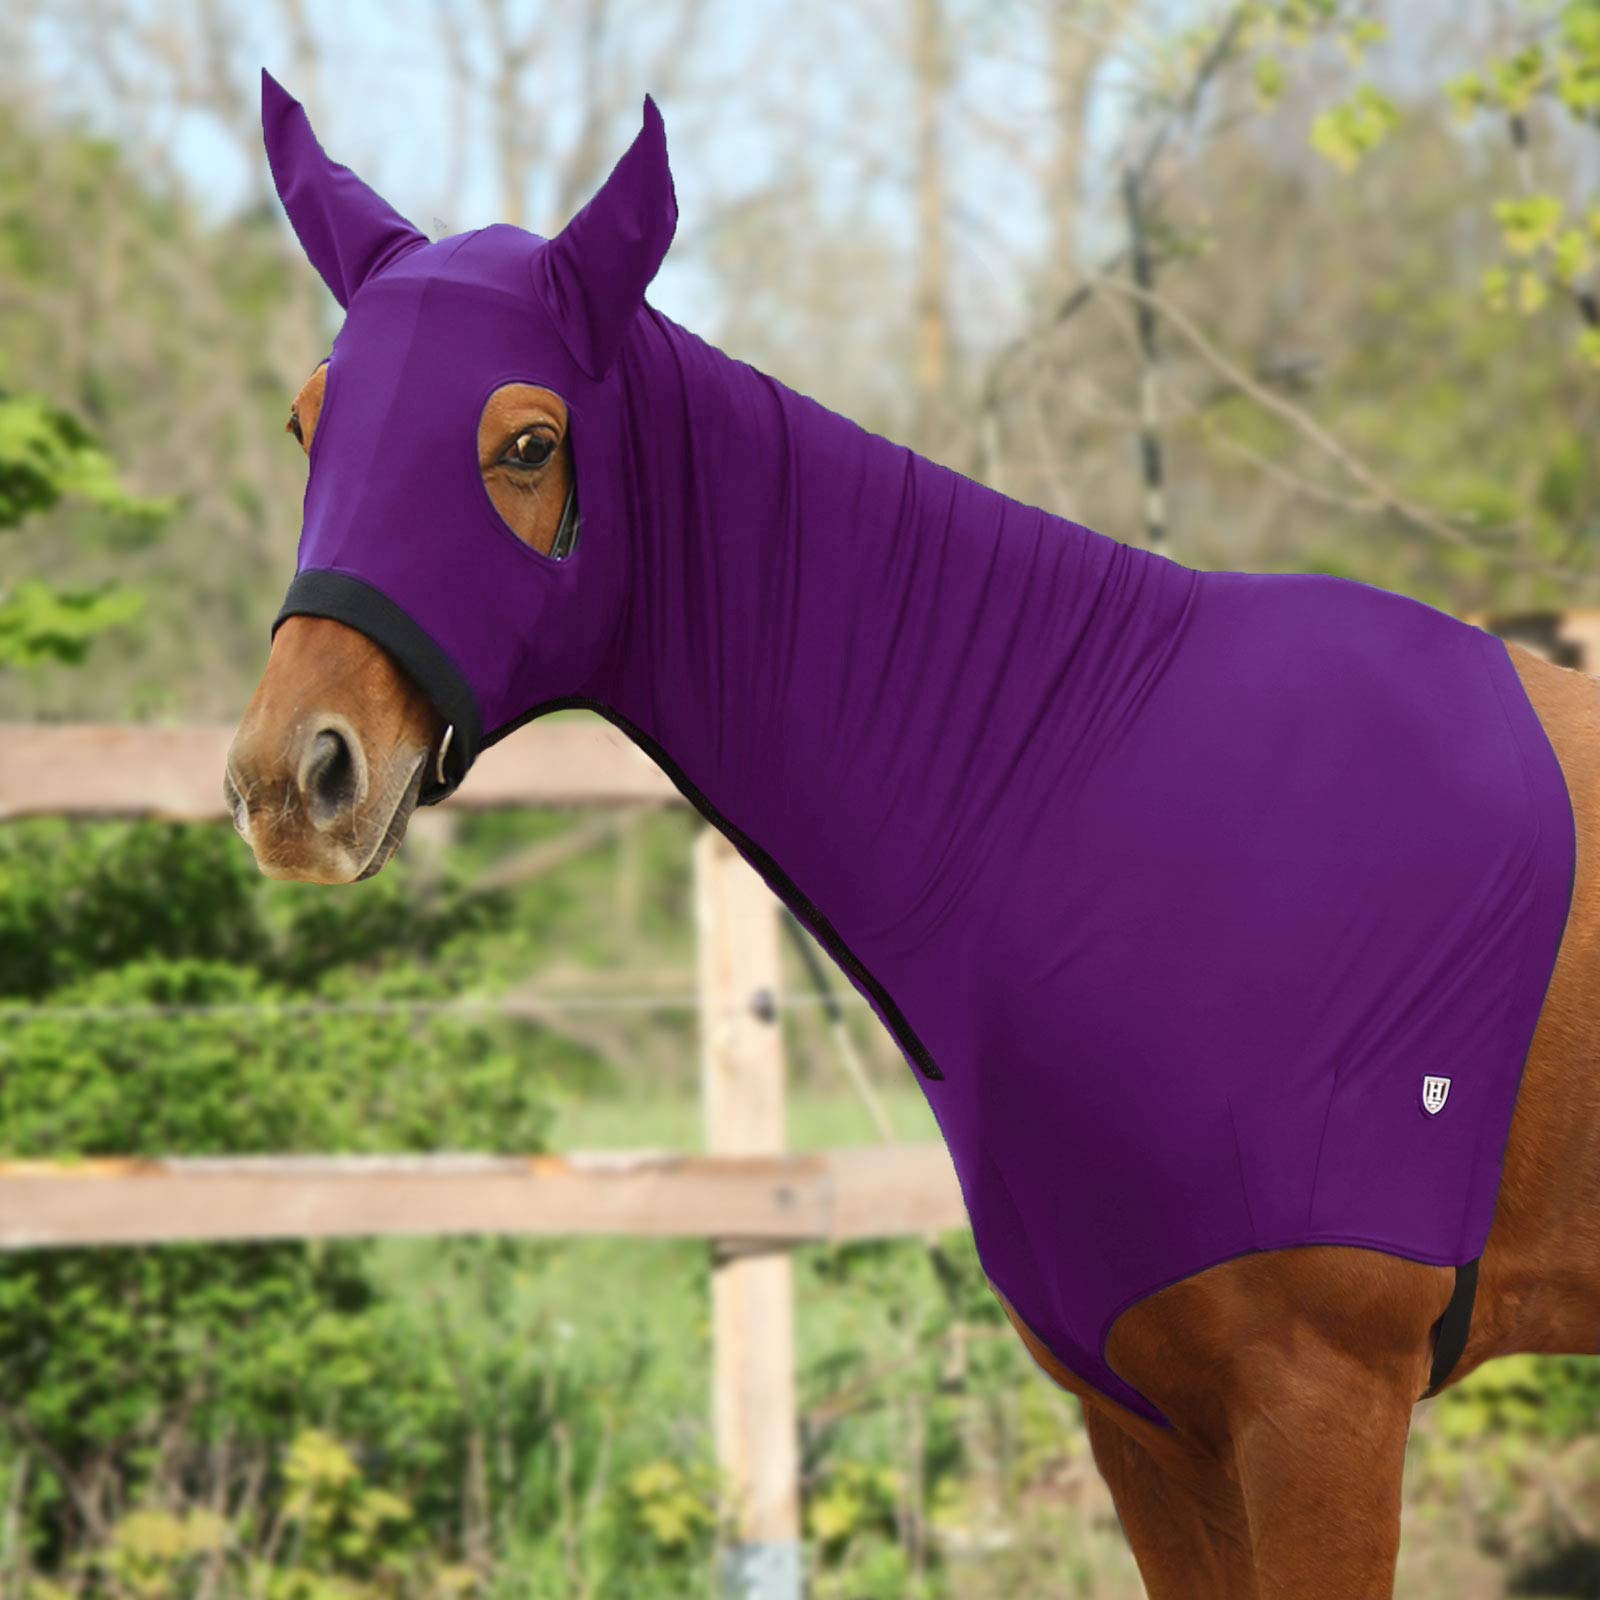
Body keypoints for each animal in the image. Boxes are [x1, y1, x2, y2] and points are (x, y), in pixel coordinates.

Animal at [226, 72, 1600, 1598]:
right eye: (307, 425)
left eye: (526, 444)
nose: (293, 780)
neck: (1088, 793)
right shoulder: (1152, 1424)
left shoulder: (1322, 1403)